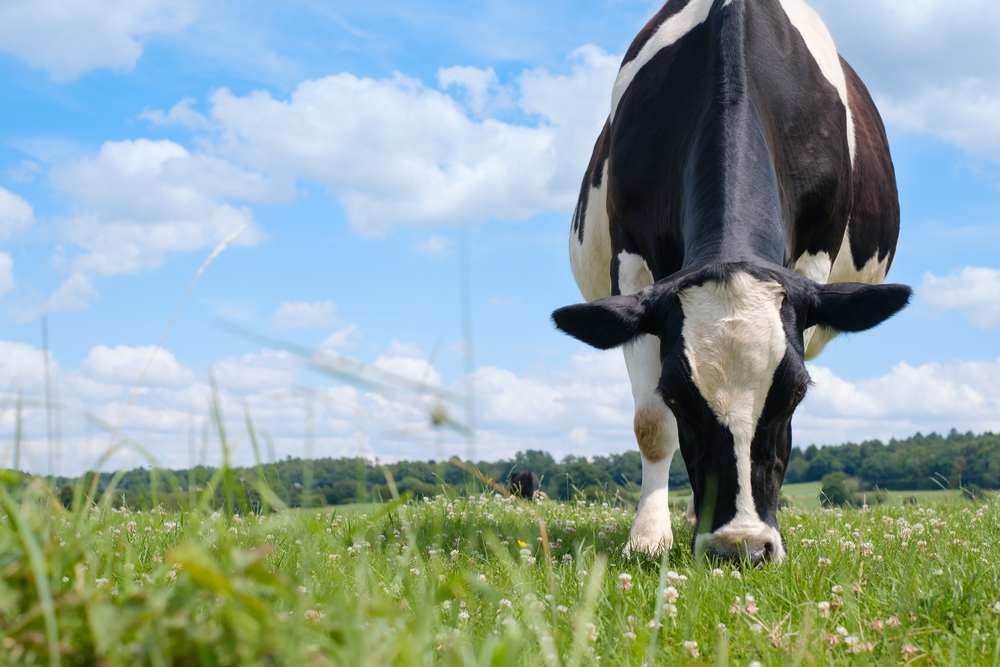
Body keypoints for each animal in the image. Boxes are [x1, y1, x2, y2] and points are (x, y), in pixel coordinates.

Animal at [552, 0, 910, 564]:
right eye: (677, 395)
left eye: (796, 393)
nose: (741, 547)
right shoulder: (632, 265)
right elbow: (651, 425)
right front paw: (648, 537)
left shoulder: (814, 257)